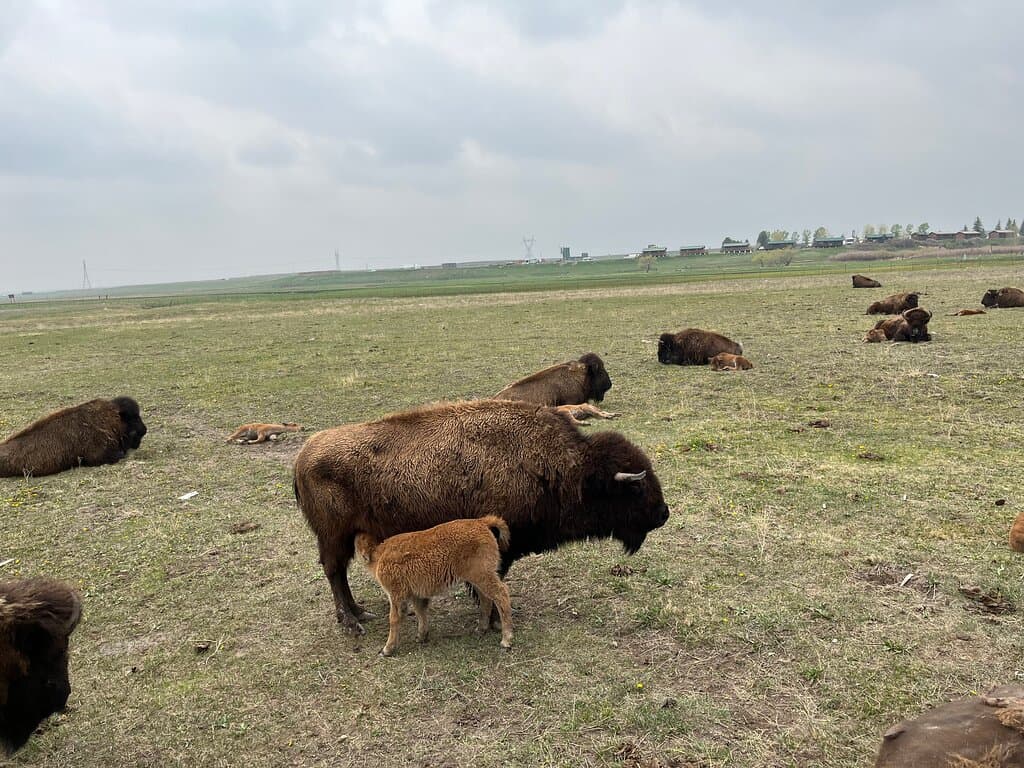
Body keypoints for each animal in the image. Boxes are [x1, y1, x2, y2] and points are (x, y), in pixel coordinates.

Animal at [293, 399, 670, 633]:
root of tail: (302, 457)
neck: (569, 468)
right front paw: (492, 621)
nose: (663, 514)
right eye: (637, 488)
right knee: (334, 572)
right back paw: (352, 621)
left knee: (338, 574)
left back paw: (359, 613)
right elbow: (490, 584)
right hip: (333, 536)